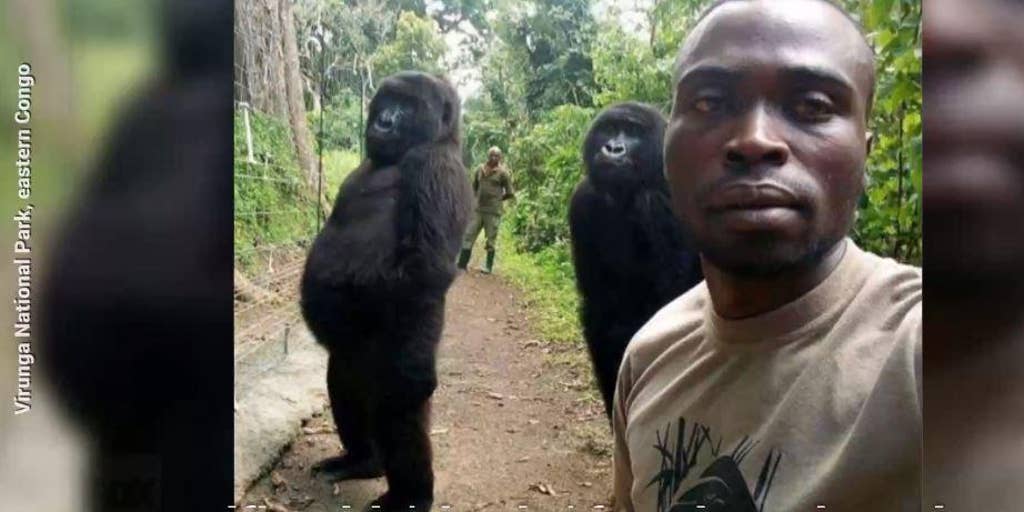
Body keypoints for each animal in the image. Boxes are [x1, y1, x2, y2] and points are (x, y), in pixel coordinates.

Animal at [299, 71, 468, 507]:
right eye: (387, 100)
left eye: (407, 106)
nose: (385, 120)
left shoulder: (435, 168)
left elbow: (425, 266)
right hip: (350, 362)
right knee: (343, 380)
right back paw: (362, 461)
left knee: (399, 407)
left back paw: (410, 496)